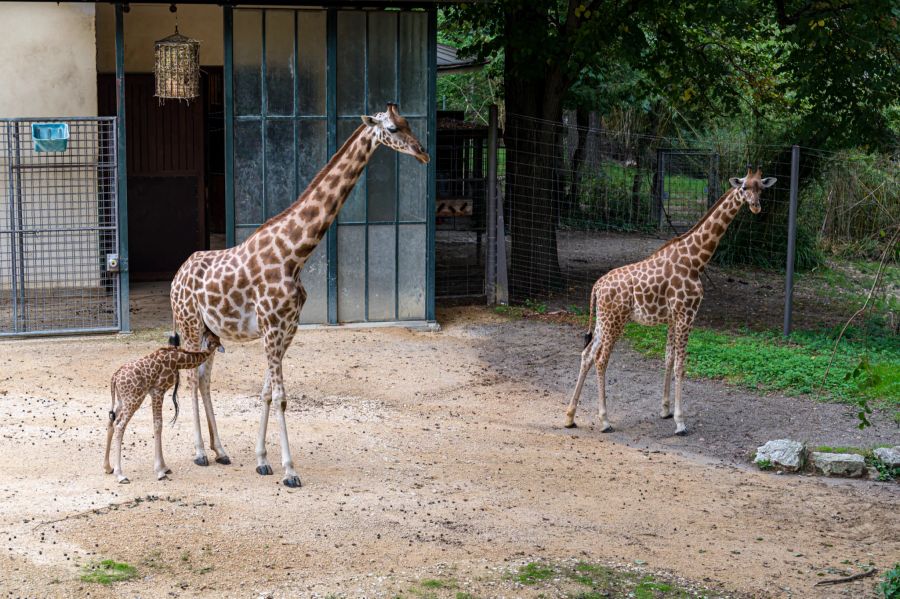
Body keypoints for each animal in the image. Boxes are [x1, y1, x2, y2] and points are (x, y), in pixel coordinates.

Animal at [104, 336, 222, 486]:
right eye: (215, 340)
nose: (221, 346)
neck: (178, 360)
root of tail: (115, 377)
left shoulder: (156, 392)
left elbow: (158, 425)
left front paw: (164, 468)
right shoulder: (158, 390)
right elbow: (158, 425)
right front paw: (160, 472)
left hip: (121, 400)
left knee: (111, 421)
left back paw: (108, 467)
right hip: (133, 399)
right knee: (119, 425)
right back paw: (120, 475)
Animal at [173, 103, 432, 488]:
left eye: (409, 123)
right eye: (392, 128)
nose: (423, 153)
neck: (294, 253)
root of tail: (175, 277)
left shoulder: (286, 330)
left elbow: (267, 392)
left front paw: (262, 460)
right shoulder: (271, 327)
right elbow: (281, 396)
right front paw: (290, 471)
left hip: (209, 332)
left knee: (204, 379)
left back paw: (220, 451)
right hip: (189, 326)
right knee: (191, 378)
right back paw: (200, 452)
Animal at [568, 168, 776, 436]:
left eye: (761, 187)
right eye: (743, 188)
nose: (755, 206)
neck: (696, 260)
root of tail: (596, 286)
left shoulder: (672, 316)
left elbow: (668, 357)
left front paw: (665, 410)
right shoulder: (687, 313)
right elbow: (681, 364)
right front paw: (680, 422)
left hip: (603, 321)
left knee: (587, 355)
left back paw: (570, 416)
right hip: (616, 321)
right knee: (601, 360)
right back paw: (604, 421)